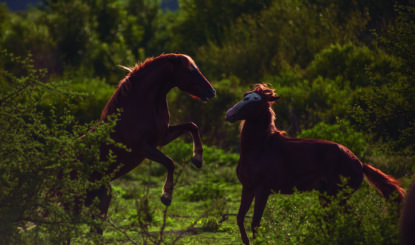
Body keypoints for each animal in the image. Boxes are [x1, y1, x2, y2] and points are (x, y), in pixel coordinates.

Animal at [83, 53, 216, 228]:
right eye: (189, 71)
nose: (211, 91)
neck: (137, 110)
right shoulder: (144, 148)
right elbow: (170, 162)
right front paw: (166, 196)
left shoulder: (162, 138)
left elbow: (192, 126)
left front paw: (198, 159)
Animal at [228, 83, 406, 243]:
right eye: (245, 95)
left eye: (255, 100)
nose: (229, 114)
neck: (261, 148)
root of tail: (359, 163)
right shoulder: (248, 188)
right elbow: (240, 219)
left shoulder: (262, 190)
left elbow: (255, 223)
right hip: (327, 197)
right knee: (337, 221)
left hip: (336, 197)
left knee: (351, 220)